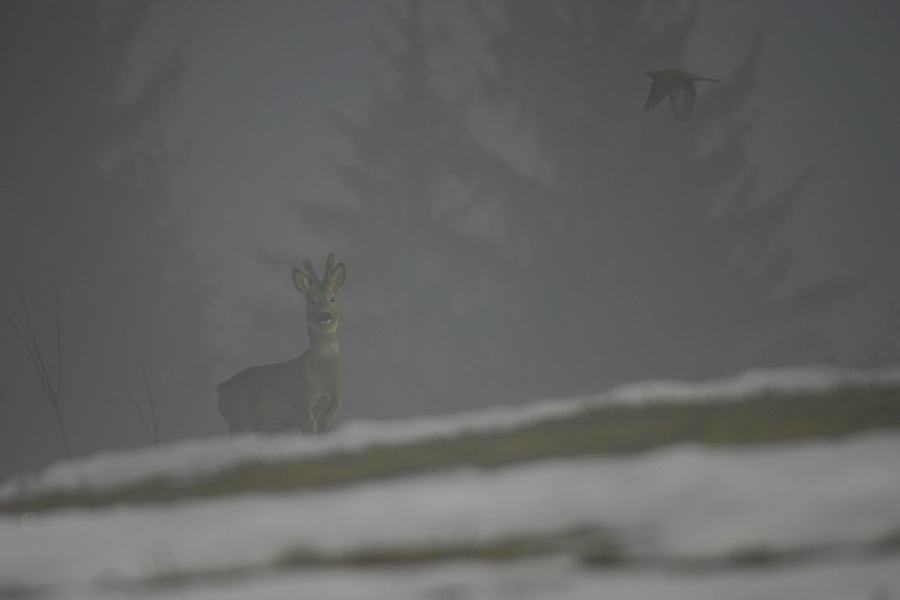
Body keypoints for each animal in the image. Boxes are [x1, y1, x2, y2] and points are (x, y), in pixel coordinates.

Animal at [215, 253, 346, 435]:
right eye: (312, 301)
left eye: (332, 298)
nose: (324, 315)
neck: (324, 379)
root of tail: (218, 391)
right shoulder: (304, 406)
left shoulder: (331, 412)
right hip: (239, 420)